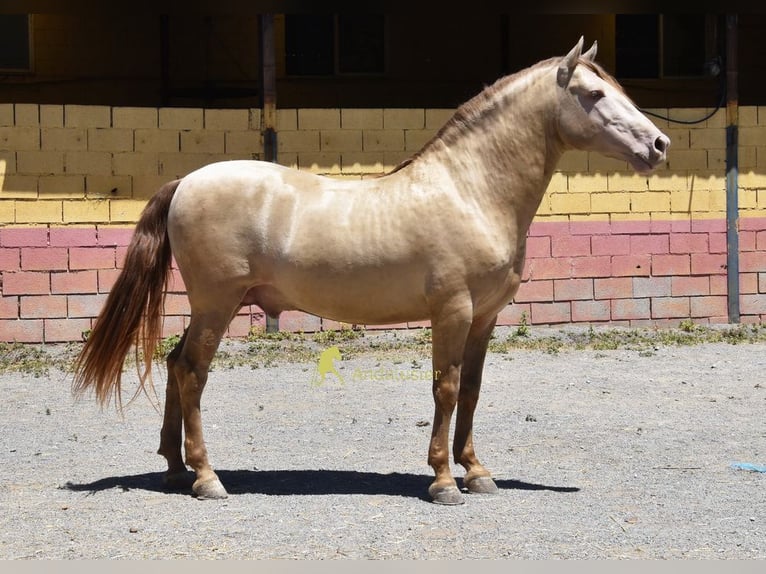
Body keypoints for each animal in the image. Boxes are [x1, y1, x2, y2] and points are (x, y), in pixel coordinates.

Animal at [73, 38, 669, 505]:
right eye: (594, 95)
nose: (659, 145)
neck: (470, 190)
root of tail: (186, 181)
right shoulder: (451, 312)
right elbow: (446, 388)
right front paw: (444, 481)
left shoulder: (484, 319)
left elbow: (472, 390)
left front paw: (477, 472)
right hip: (217, 304)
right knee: (192, 372)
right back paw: (206, 478)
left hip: (212, 307)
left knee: (176, 364)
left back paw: (175, 470)